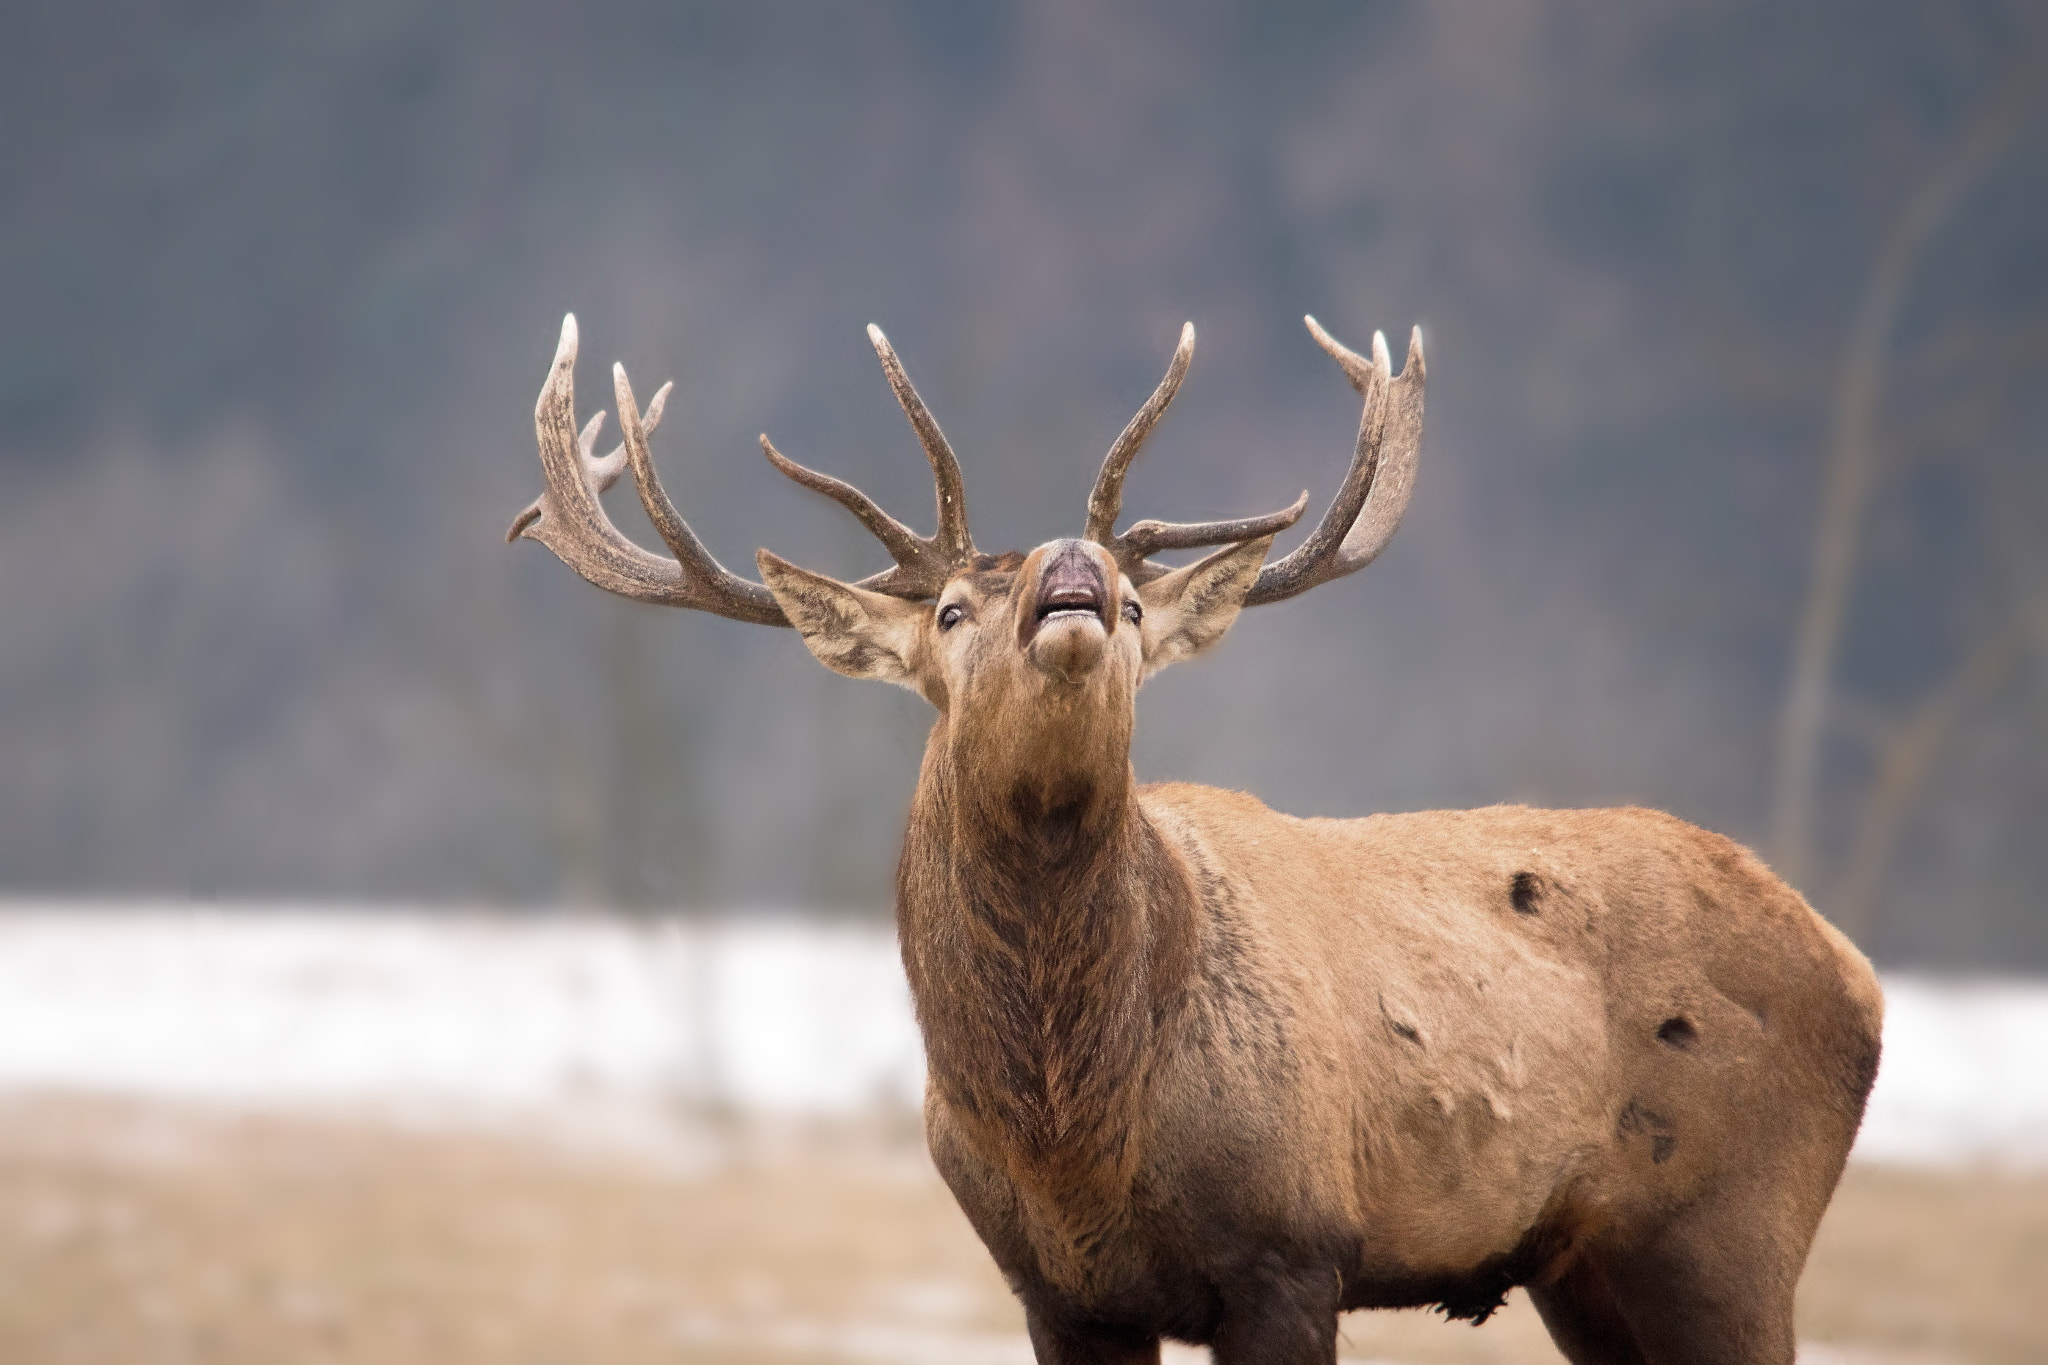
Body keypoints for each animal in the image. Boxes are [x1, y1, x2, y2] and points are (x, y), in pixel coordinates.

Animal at [512, 309, 1884, 1365]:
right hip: (1587, 1266)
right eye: (950, 608)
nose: (1070, 571)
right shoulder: (1058, 1291)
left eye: (1129, 602)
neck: (1074, 1135)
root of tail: (1855, 969)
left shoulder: (1292, 1250)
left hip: (1729, 1227)